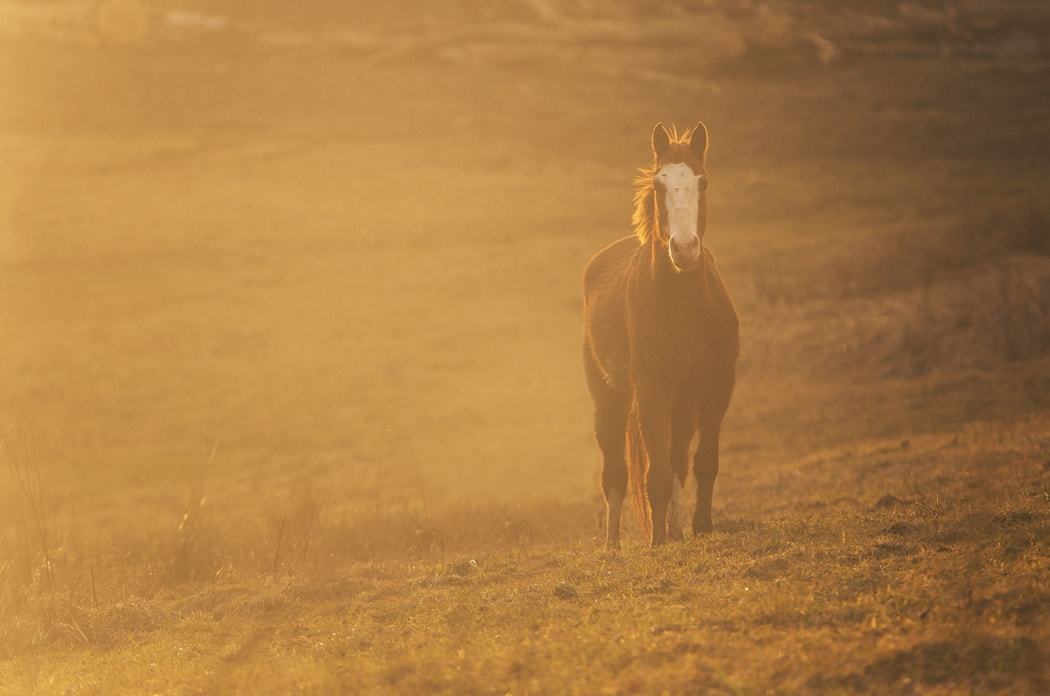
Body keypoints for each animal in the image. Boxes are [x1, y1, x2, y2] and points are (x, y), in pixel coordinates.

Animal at [583, 121, 739, 549]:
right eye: (658, 184)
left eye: (702, 182)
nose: (683, 249)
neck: (685, 308)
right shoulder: (652, 388)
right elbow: (655, 475)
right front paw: (657, 543)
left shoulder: (718, 386)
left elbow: (703, 463)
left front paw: (701, 528)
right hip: (610, 400)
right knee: (615, 475)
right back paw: (613, 546)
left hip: (683, 405)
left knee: (678, 461)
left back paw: (675, 529)